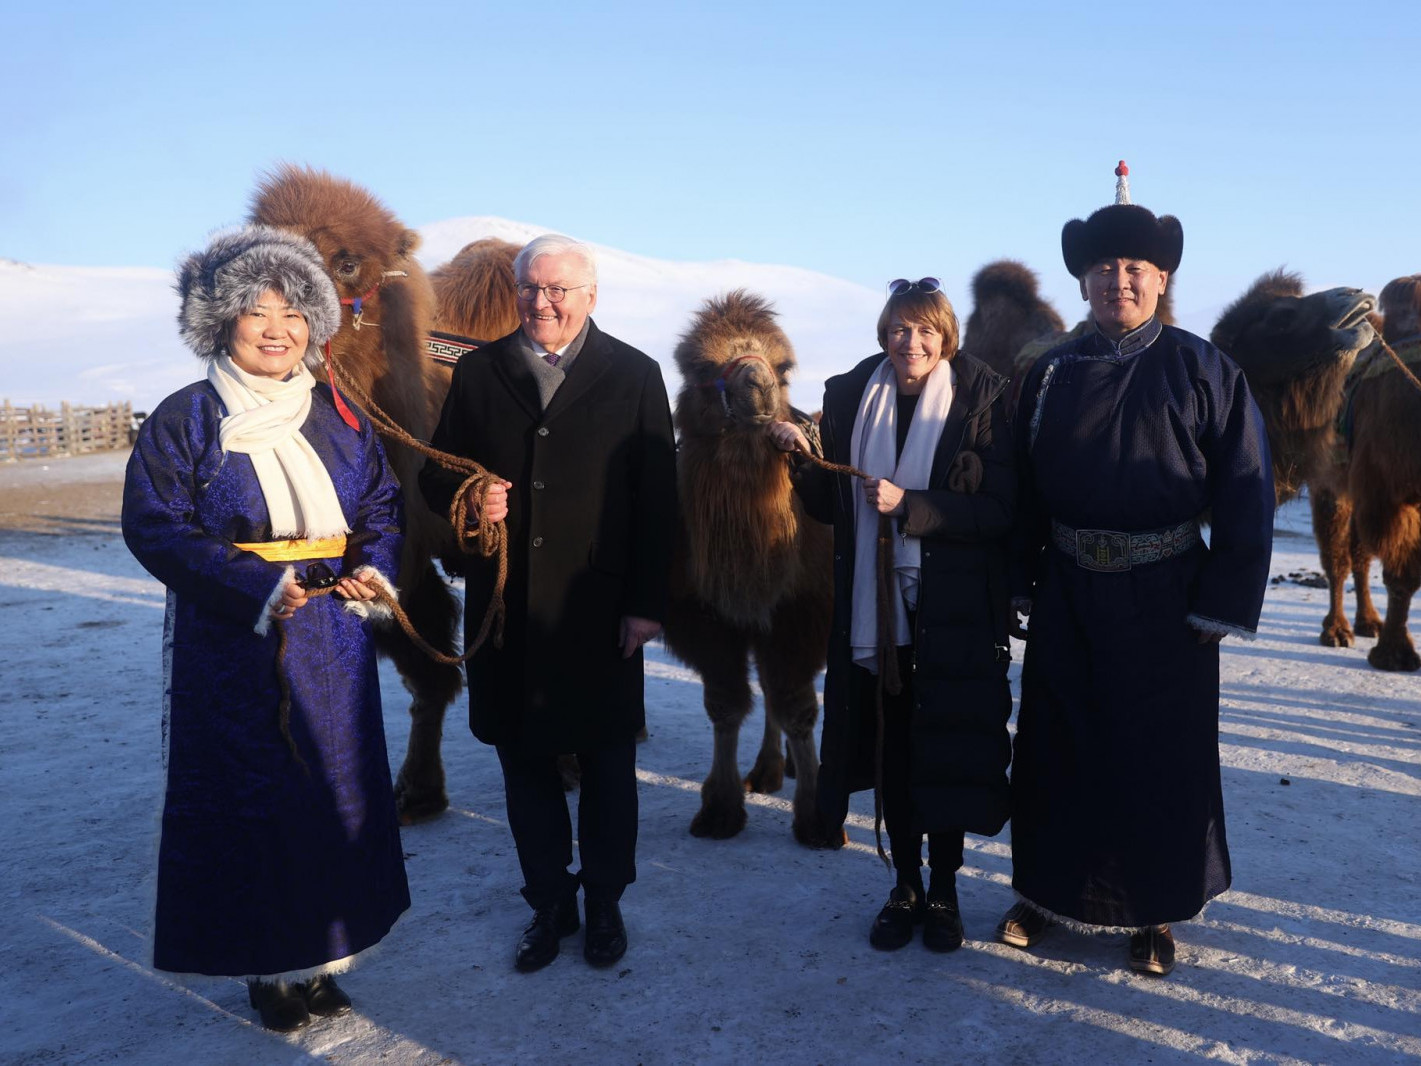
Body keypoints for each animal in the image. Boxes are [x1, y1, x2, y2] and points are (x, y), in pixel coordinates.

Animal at [656, 288, 835, 847]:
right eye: (700, 366)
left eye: (783, 366)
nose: (755, 382)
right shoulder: (706, 618)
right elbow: (726, 704)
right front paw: (720, 808)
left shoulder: (801, 613)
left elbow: (797, 706)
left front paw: (817, 818)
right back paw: (769, 770)